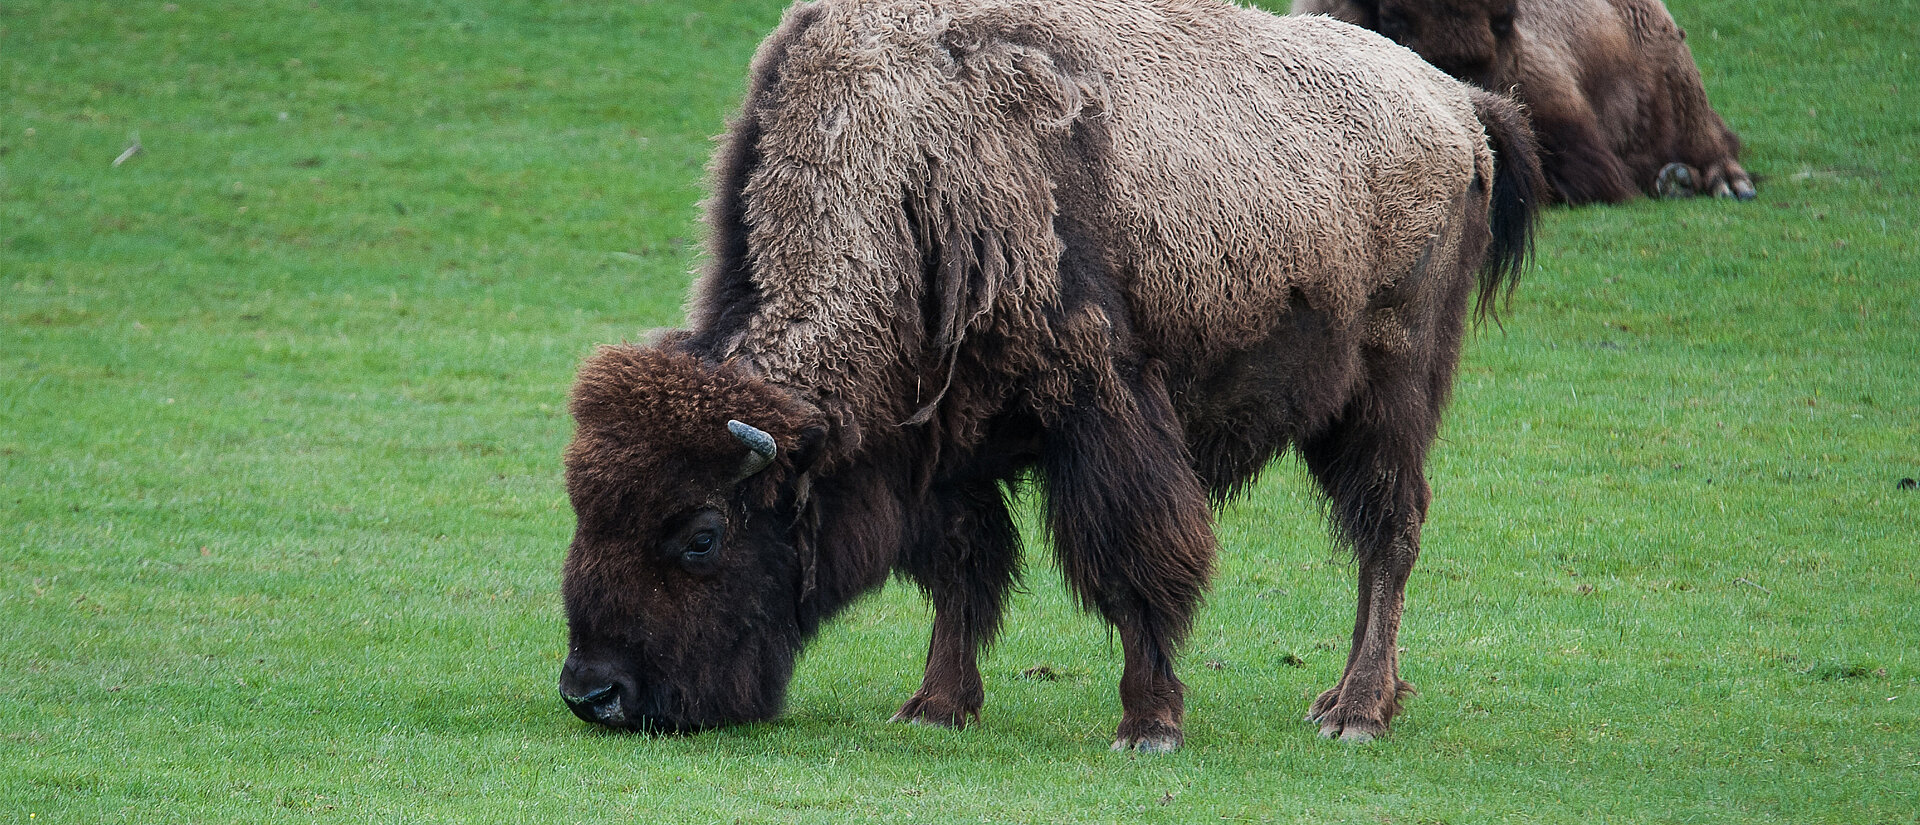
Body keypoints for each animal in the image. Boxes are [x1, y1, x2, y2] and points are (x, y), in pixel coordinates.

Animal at [556, 0, 1543, 752]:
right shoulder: (947, 443)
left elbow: (1134, 562)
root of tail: (1457, 106)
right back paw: (1349, 701)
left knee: (1389, 532)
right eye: (584, 510)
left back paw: (1356, 711)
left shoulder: (1104, 408)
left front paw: (1148, 726)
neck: (906, 162)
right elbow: (962, 566)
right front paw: (936, 706)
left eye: (703, 533)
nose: (593, 693)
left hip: (1388, 391)